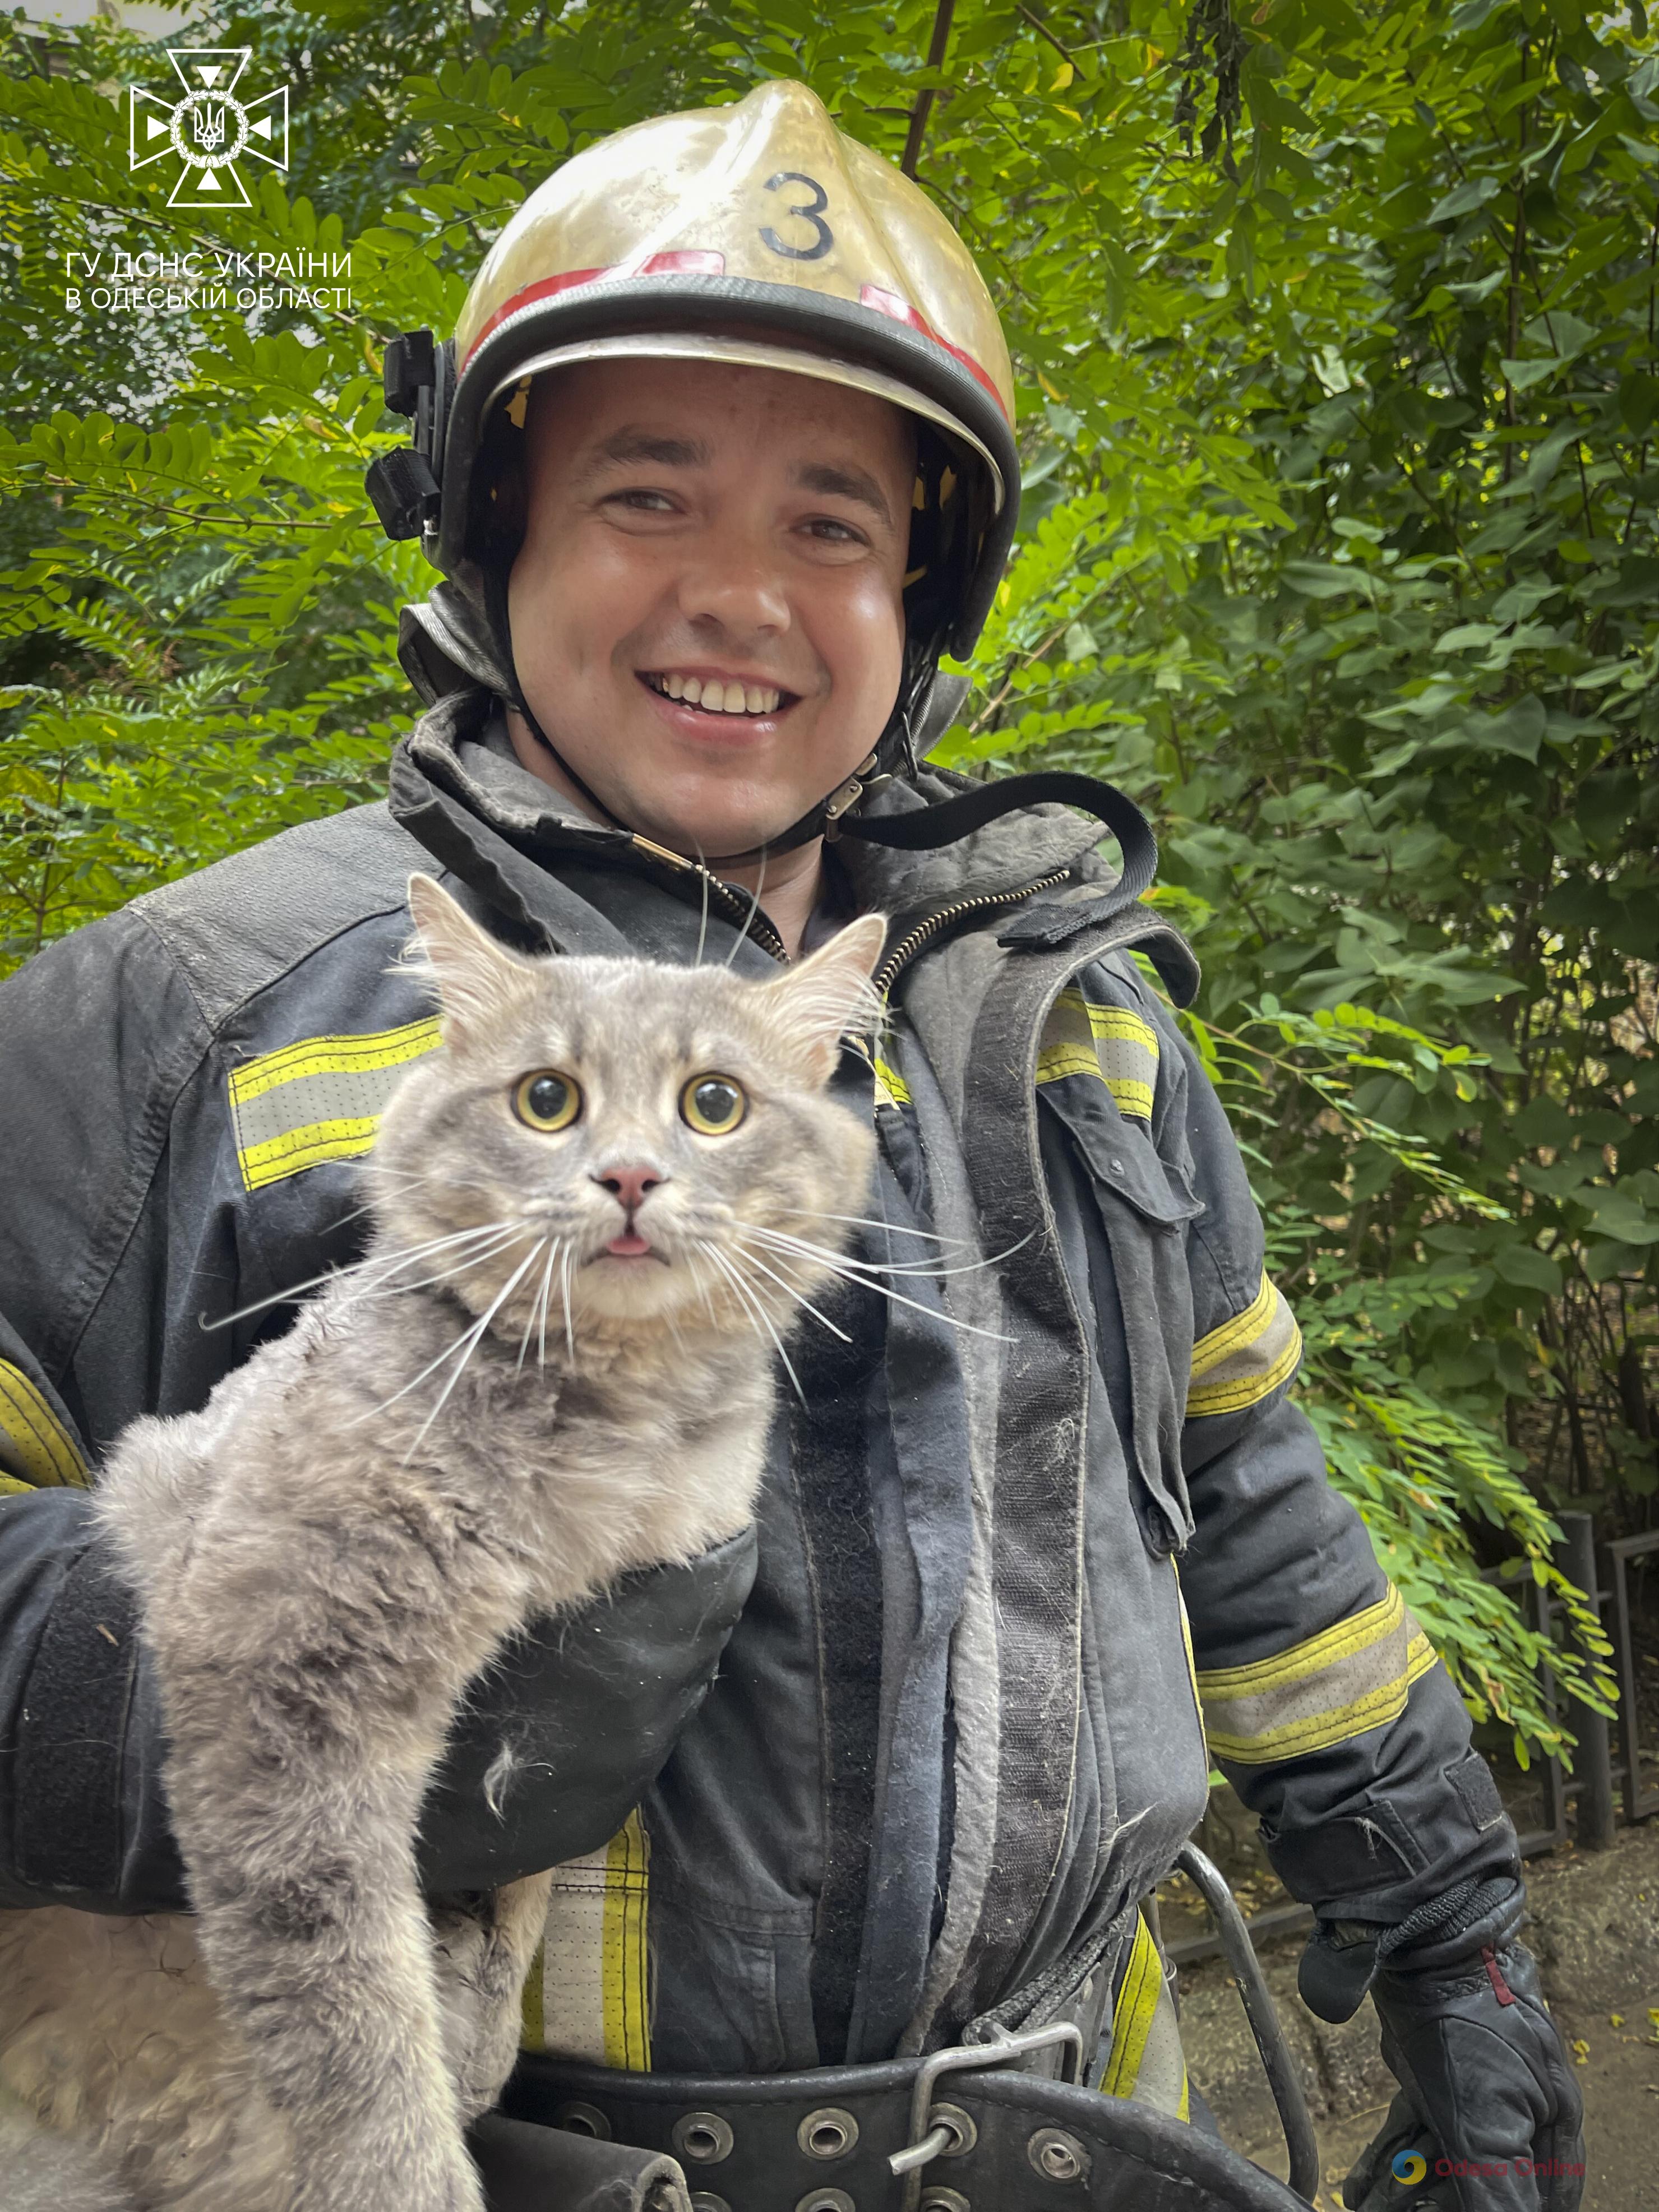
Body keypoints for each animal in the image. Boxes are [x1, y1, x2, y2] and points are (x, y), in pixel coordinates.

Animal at [0, 880, 889, 2212]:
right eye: (547, 1098)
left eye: (714, 1103)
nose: (631, 1176)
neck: (613, 1431)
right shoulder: (282, 1683)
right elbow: (354, 2023)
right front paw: (411, 2160)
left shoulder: (592, 1696)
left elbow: (511, 1908)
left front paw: (478, 2022)